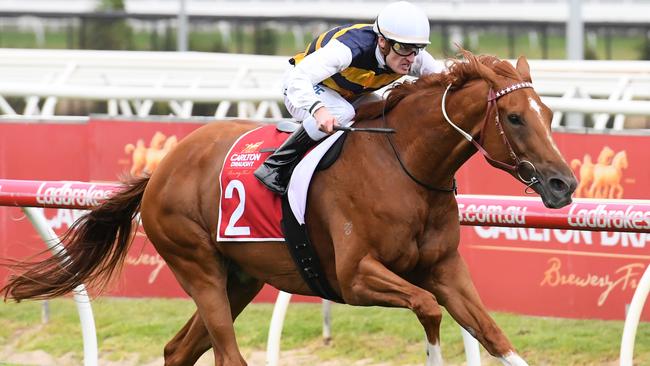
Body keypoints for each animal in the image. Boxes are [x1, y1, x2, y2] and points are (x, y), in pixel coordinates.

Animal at [2, 51, 576, 366]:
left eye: (548, 113)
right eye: (515, 117)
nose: (563, 184)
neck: (405, 167)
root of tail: (161, 169)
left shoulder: (445, 269)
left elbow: (494, 334)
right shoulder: (354, 277)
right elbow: (428, 309)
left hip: (239, 278)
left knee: (179, 350)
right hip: (197, 265)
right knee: (227, 355)